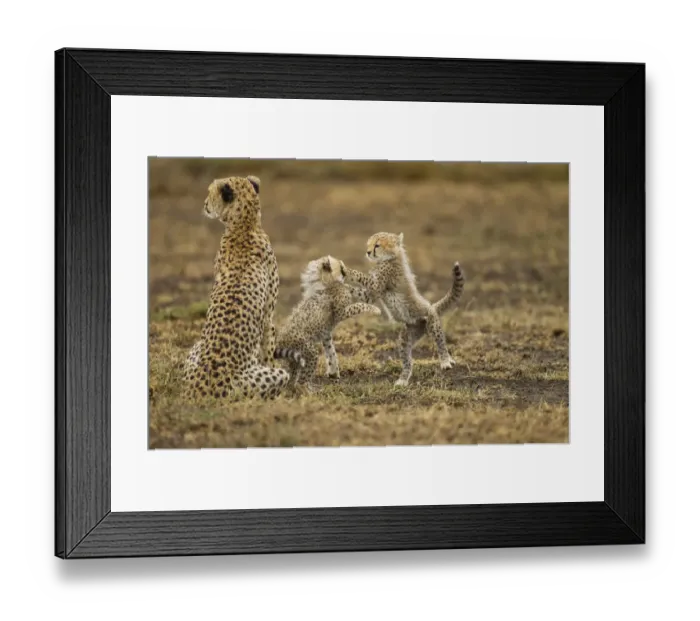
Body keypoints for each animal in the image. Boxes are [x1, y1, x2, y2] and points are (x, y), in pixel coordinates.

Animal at [182, 174, 302, 401]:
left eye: (210, 192)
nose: (204, 204)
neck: (244, 227)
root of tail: (199, 390)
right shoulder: (268, 319)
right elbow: (269, 353)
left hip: (194, 352)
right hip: (268, 378)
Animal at [273, 255, 381, 394]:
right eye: (340, 267)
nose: (345, 271)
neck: (327, 282)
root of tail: (280, 339)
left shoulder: (326, 333)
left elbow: (331, 352)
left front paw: (334, 372)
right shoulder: (341, 313)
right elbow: (358, 305)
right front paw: (375, 309)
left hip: (294, 358)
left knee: (292, 377)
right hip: (309, 352)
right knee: (302, 380)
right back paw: (309, 391)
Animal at [344, 232, 465, 386]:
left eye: (377, 245)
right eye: (369, 244)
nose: (368, 252)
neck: (390, 258)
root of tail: (431, 306)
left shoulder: (376, 287)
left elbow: (360, 276)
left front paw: (343, 270)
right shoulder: (371, 293)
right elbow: (359, 291)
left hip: (431, 322)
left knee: (440, 341)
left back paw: (446, 361)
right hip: (407, 335)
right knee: (407, 360)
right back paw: (402, 380)